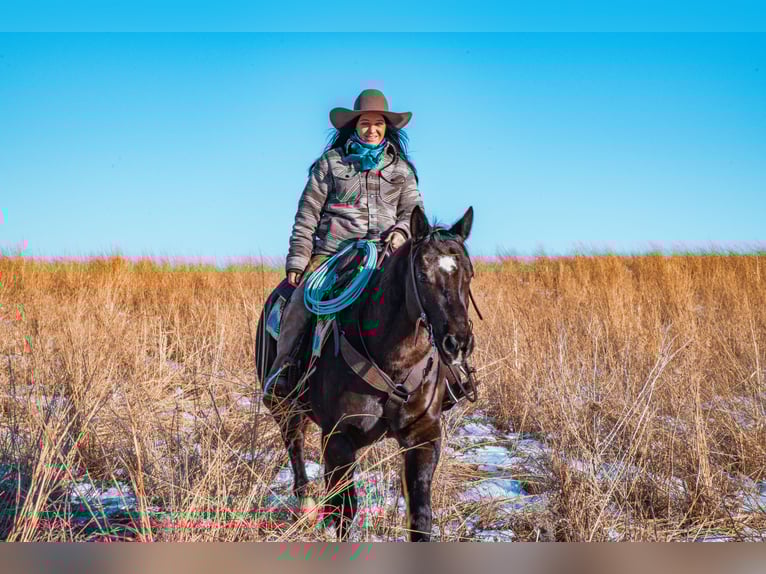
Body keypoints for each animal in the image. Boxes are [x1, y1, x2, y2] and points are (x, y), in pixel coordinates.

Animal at [254, 205, 477, 541]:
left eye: (469, 273)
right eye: (422, 275)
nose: (458, 343)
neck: (393, 363)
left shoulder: (424, 437)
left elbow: (420, 516)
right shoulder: (338, 438)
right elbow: (345, 512)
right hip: (285, 408)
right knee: (294, 445)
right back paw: (305, 506)